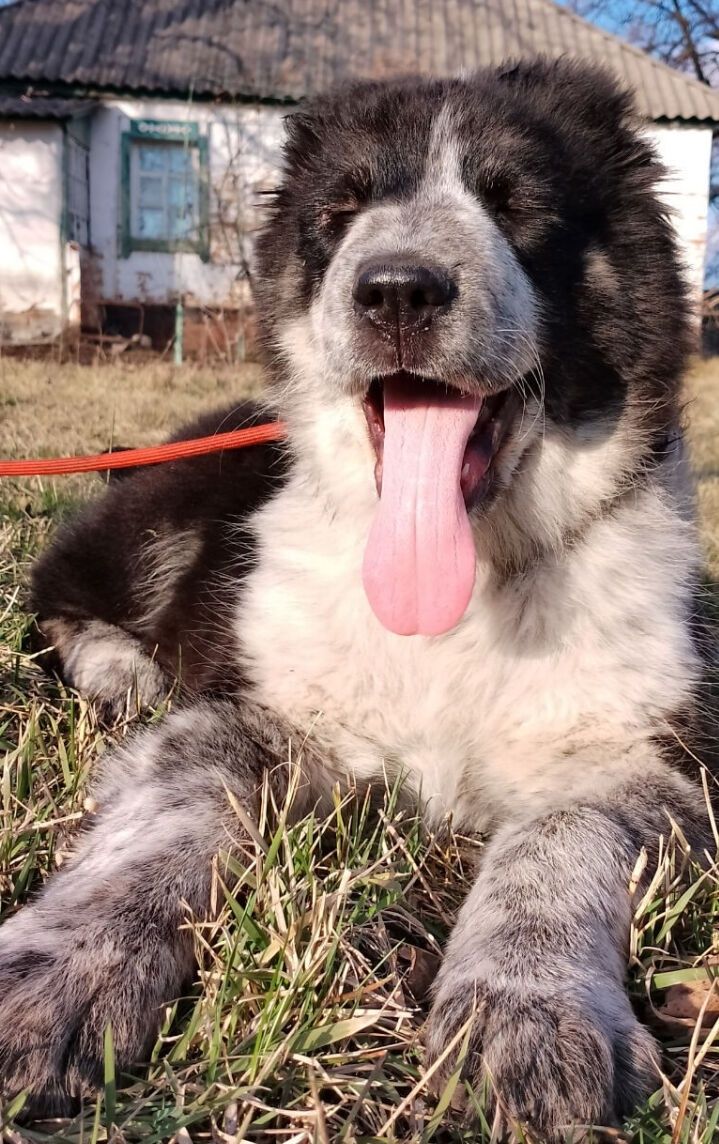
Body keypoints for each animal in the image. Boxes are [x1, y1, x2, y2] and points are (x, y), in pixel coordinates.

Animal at [2, 58, 714, 1139]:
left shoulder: (654, 760)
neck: (466, 597)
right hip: (174, 498)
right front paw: (65, 971)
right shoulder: (253, 709)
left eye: (517, 205)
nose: (396, 290)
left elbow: (558, 838)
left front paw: (528, 1008)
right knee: (57, 593)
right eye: (339, 214)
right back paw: (120, 666)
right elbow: (173, 812)